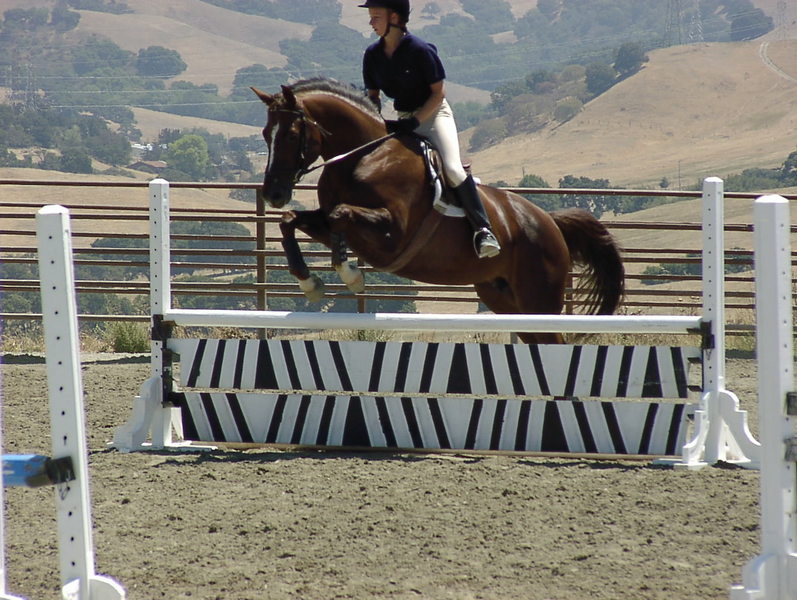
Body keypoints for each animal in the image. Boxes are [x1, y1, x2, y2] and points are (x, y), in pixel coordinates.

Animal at [252, 77, 624, 344]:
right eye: (266, 133)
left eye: (291, 135)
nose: (273, 194)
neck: (363, 157)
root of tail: (550, 223)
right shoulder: (333, 223)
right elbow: (291, 221)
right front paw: (310, 282)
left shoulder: (392, 235)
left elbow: (340, 214)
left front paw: (350, 274)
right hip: (504, 298)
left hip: (539, 300)